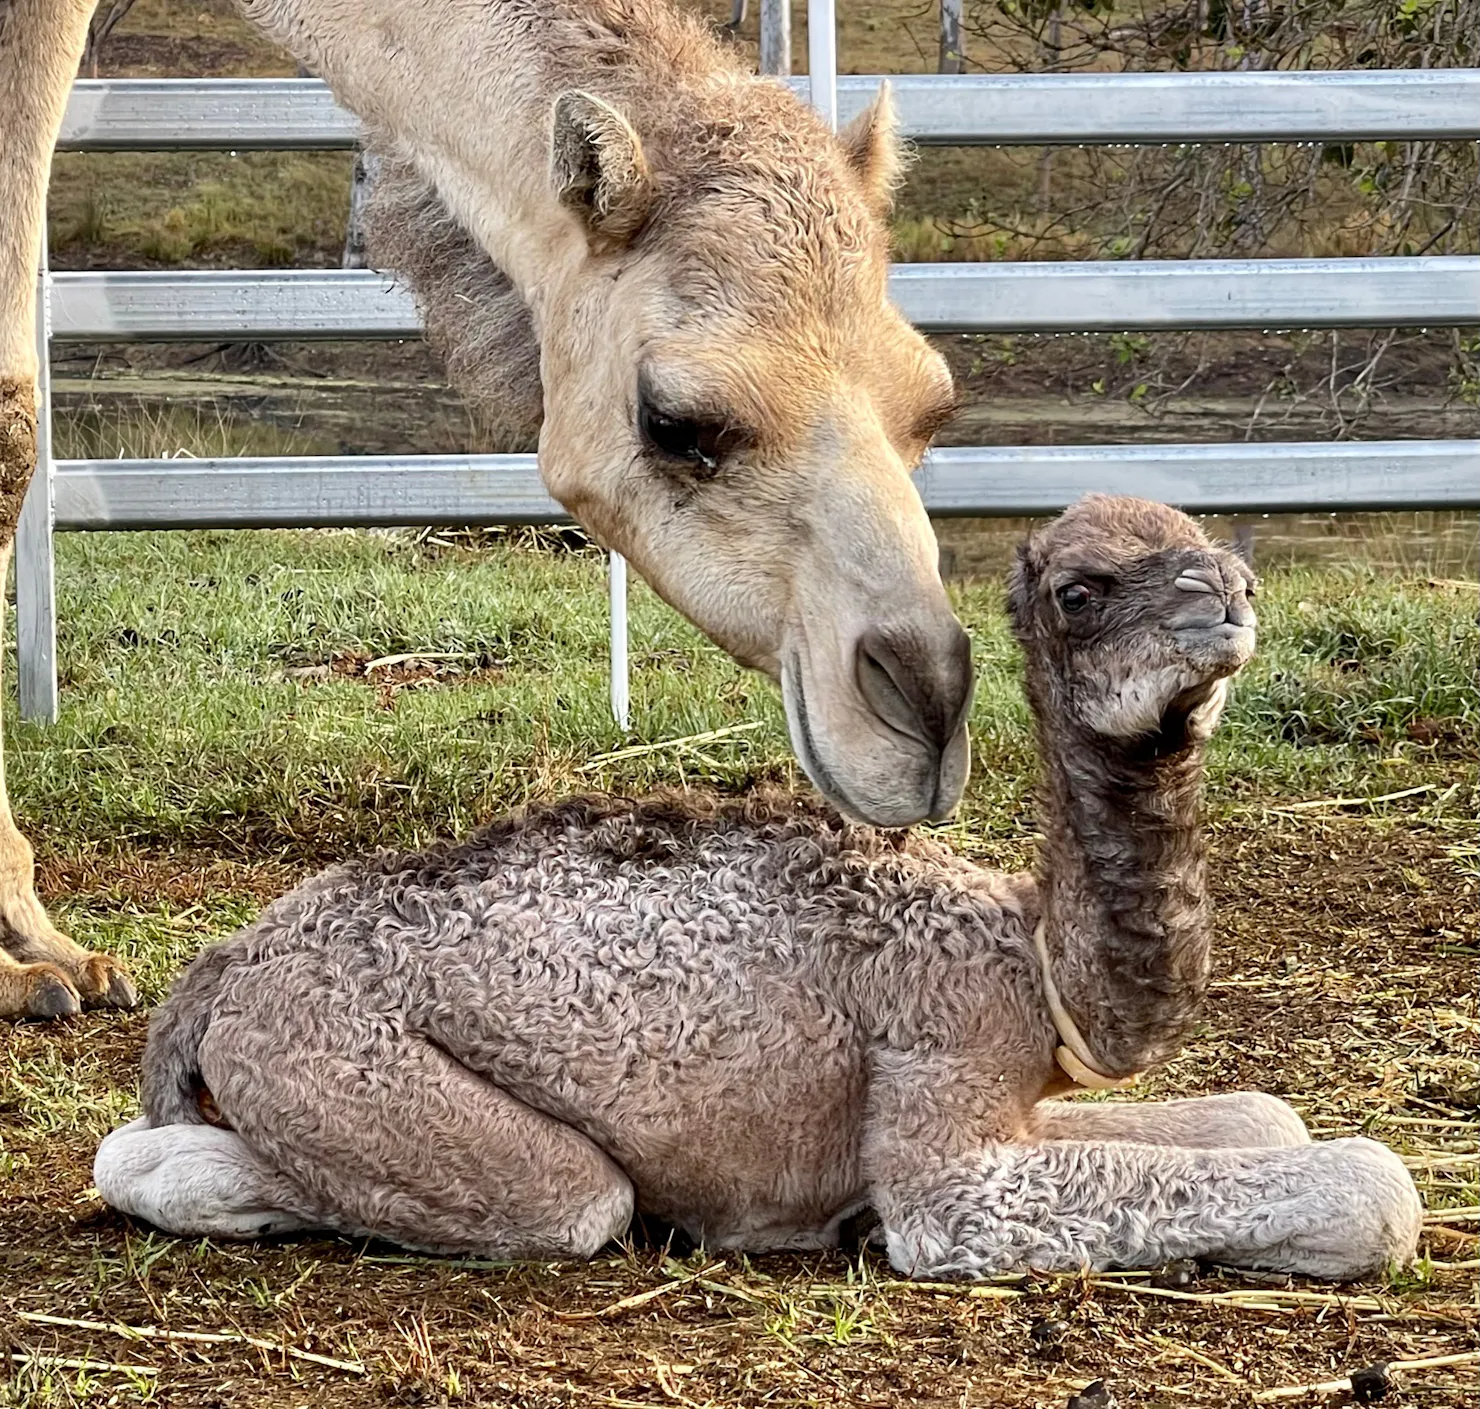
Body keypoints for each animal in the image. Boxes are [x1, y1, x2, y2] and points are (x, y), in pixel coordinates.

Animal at [94, 497, 1422, 1279]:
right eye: (1080, 590)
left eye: (1223, 552)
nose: (1227, 600)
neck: (1030, 963)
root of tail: (227, 968)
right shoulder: (941, 1100)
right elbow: (1372, 1183)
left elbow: (1263, 1112)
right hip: (338, 1062)